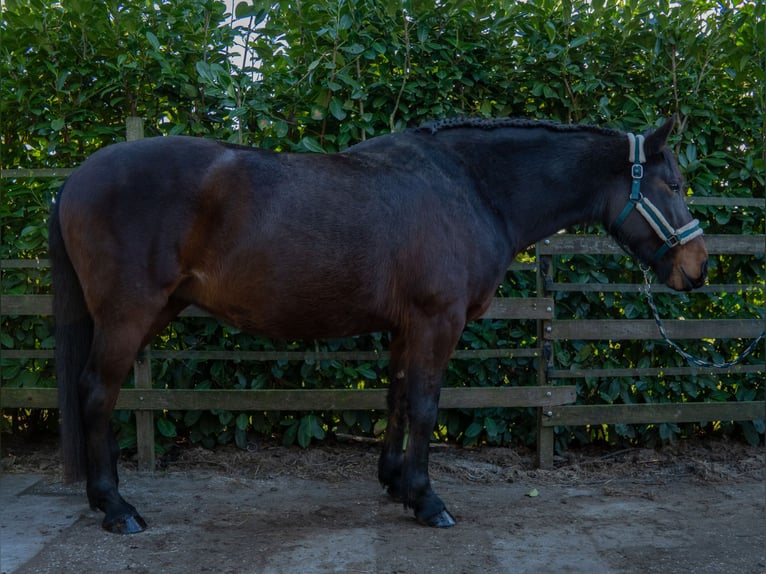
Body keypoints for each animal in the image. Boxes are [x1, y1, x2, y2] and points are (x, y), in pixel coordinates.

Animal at [49, 116, 707, 534]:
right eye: (673, 184)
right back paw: (116, 509)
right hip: (127, 316)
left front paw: (394, 482)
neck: (469, 187)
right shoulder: (437, 321)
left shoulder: (405, 326)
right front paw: (427, 499)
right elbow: (424, 404)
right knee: (97, 393)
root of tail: (78, 175)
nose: (697, 268)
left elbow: (396, 398)